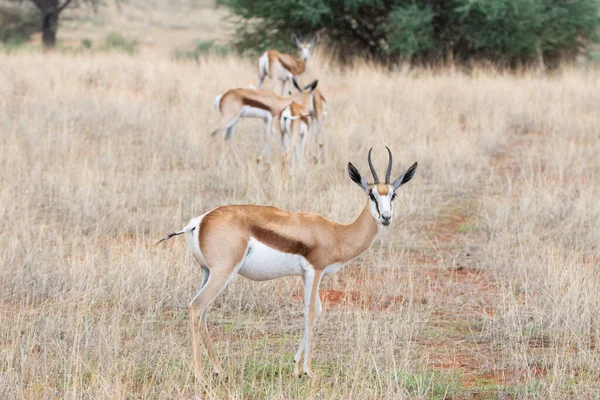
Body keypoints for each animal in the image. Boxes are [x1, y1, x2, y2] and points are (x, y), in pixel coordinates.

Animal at [155, 147, 418, 378]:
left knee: (203, 313)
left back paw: (219, 369)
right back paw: (200, 375)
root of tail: (199, 221)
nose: (386, 217)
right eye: (372, 195)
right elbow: (310, 312)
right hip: (223, 272)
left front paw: (295, 366)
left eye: (393, 194)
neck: (337, 233)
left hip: (207, 272)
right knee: (196, 307)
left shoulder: (305, 275)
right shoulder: (315, 271)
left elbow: (317, 310)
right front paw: (308, 371)